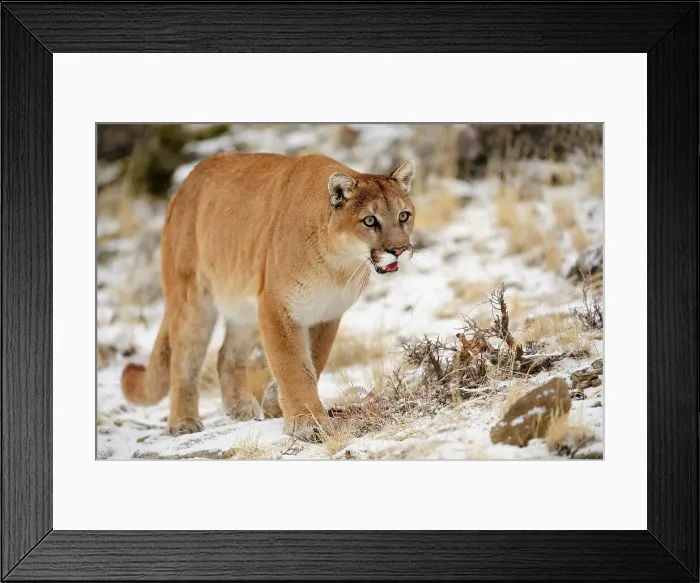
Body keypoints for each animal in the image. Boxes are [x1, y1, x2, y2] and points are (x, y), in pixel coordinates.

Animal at [121, 152, 416, 440]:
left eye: (403, 216)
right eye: (370, 220)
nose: (399, 249)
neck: (338, 264)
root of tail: (183, 185)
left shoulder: (327, 313)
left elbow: (314, 360)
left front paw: (276, 400)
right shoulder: (277, 307)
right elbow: (292, 364)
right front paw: (306, 423)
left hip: (245, 306)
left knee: (226, 356)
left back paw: (242, 408)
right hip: (193, 301)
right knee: (184, 360)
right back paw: (183, 422)